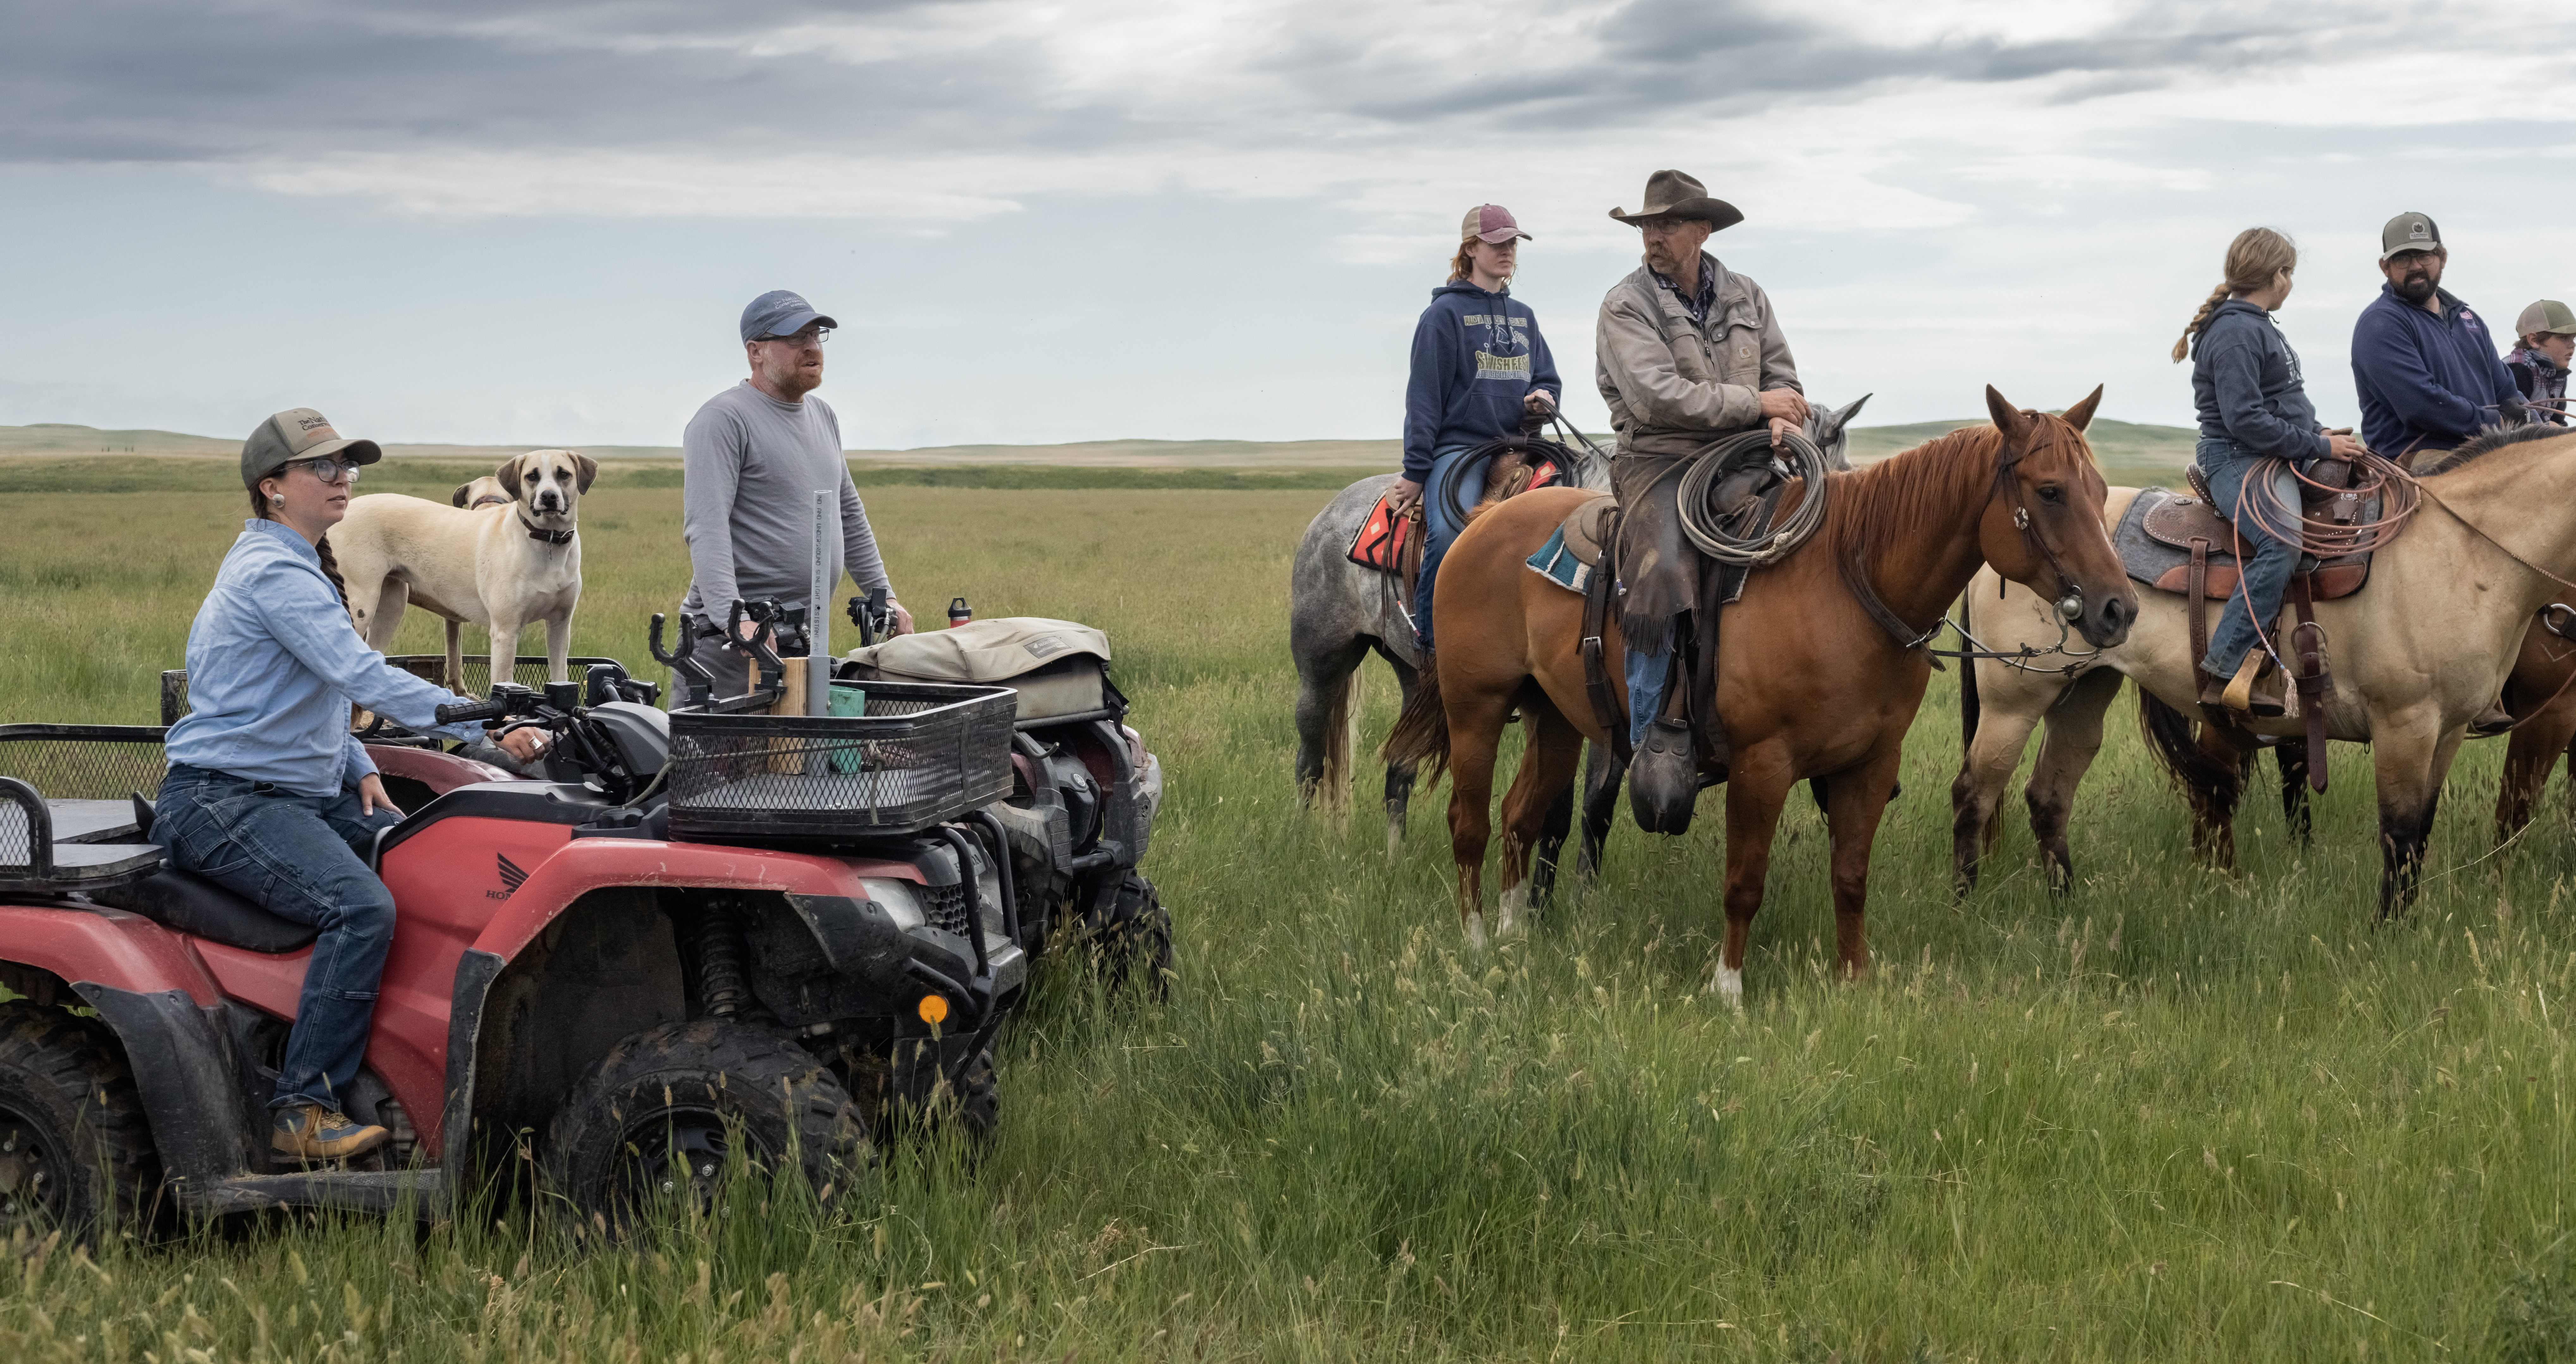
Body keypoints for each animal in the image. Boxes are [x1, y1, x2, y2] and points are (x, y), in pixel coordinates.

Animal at [327, 451, 592, 691]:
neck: (548, 540)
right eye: (532, 476)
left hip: (391, 608)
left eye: (564, 474)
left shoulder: (559, 627)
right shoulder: (505, 633)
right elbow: (500, 681)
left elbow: (560, 676)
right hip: (360, 608)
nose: (549, 497)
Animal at [1288, 400, 1875, 892]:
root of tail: (1331, 514)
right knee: (1311, 759)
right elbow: (1562, 808)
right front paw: (1539, 897)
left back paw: (1395, 856)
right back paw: (1308, 844)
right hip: (1323, 664)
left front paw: (1583, 894)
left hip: (1415, 676)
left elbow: (1599, 804)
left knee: (1399, 766)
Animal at [1391, 381, 2133, 1000]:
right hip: (1477, 707)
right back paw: (1477, 939)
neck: (1847, 583)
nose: (2118, 609)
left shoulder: (1870, 764)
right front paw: (1728, 989)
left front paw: (1854, 978)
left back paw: (1513, 934)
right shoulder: (1762, 765)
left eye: (2100, 491)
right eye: (2049, 491)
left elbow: (1851, 876)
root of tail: (1485, 520)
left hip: (1554, 719)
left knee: (1519, 817)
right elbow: (1744, 882)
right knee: (1470, 821)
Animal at [1937, 425, 2576, 912]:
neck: (2460, 554)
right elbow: (2398, 835)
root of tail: (1995, 547)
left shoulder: (2447, 731)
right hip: (2014, 700)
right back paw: (1965, 908)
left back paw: (2066, 906)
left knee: (2048, 796)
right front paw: (2386, 933)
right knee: (1974, 792)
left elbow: (2420, 833)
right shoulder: (2405, 724)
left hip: (2085, 691)